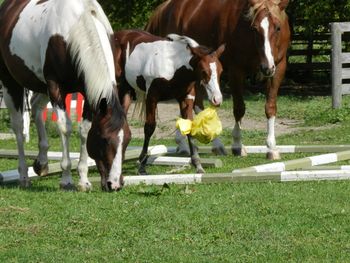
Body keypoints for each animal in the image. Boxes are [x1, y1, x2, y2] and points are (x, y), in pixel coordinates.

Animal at [0, 0, 131, 191]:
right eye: (105, 139)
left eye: (128, 140)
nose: (115, 184)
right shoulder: (55, 87)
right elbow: (64, 127)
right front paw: (67, 179)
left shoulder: (88, 91)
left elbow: (84, 129)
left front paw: (83, 180)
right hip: (11, 82)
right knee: (18, 126)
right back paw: (24, 176)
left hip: (41, 86)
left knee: (37, 108)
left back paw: (41, 163)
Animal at [114, 29, 224, 175]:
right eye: (204, 71)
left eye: (221, 70)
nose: (217, 99)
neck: (173, 66)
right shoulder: (151, 97)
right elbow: (149, 128)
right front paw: (142, 165)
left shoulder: (186, 98)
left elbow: (189, 126)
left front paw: (198, 165)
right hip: (118, 90)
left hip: (128, 92)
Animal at [146, 0, 292, 161]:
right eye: (254, 28)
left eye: (278, 27)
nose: (266, 67)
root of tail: (163, 9)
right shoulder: (236, 70)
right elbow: (239, 109)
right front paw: (237, 145)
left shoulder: (278, 68)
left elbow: (270, 107)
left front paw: (272, 148)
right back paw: (211, 145)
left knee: (193, 104)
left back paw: (186, 145)